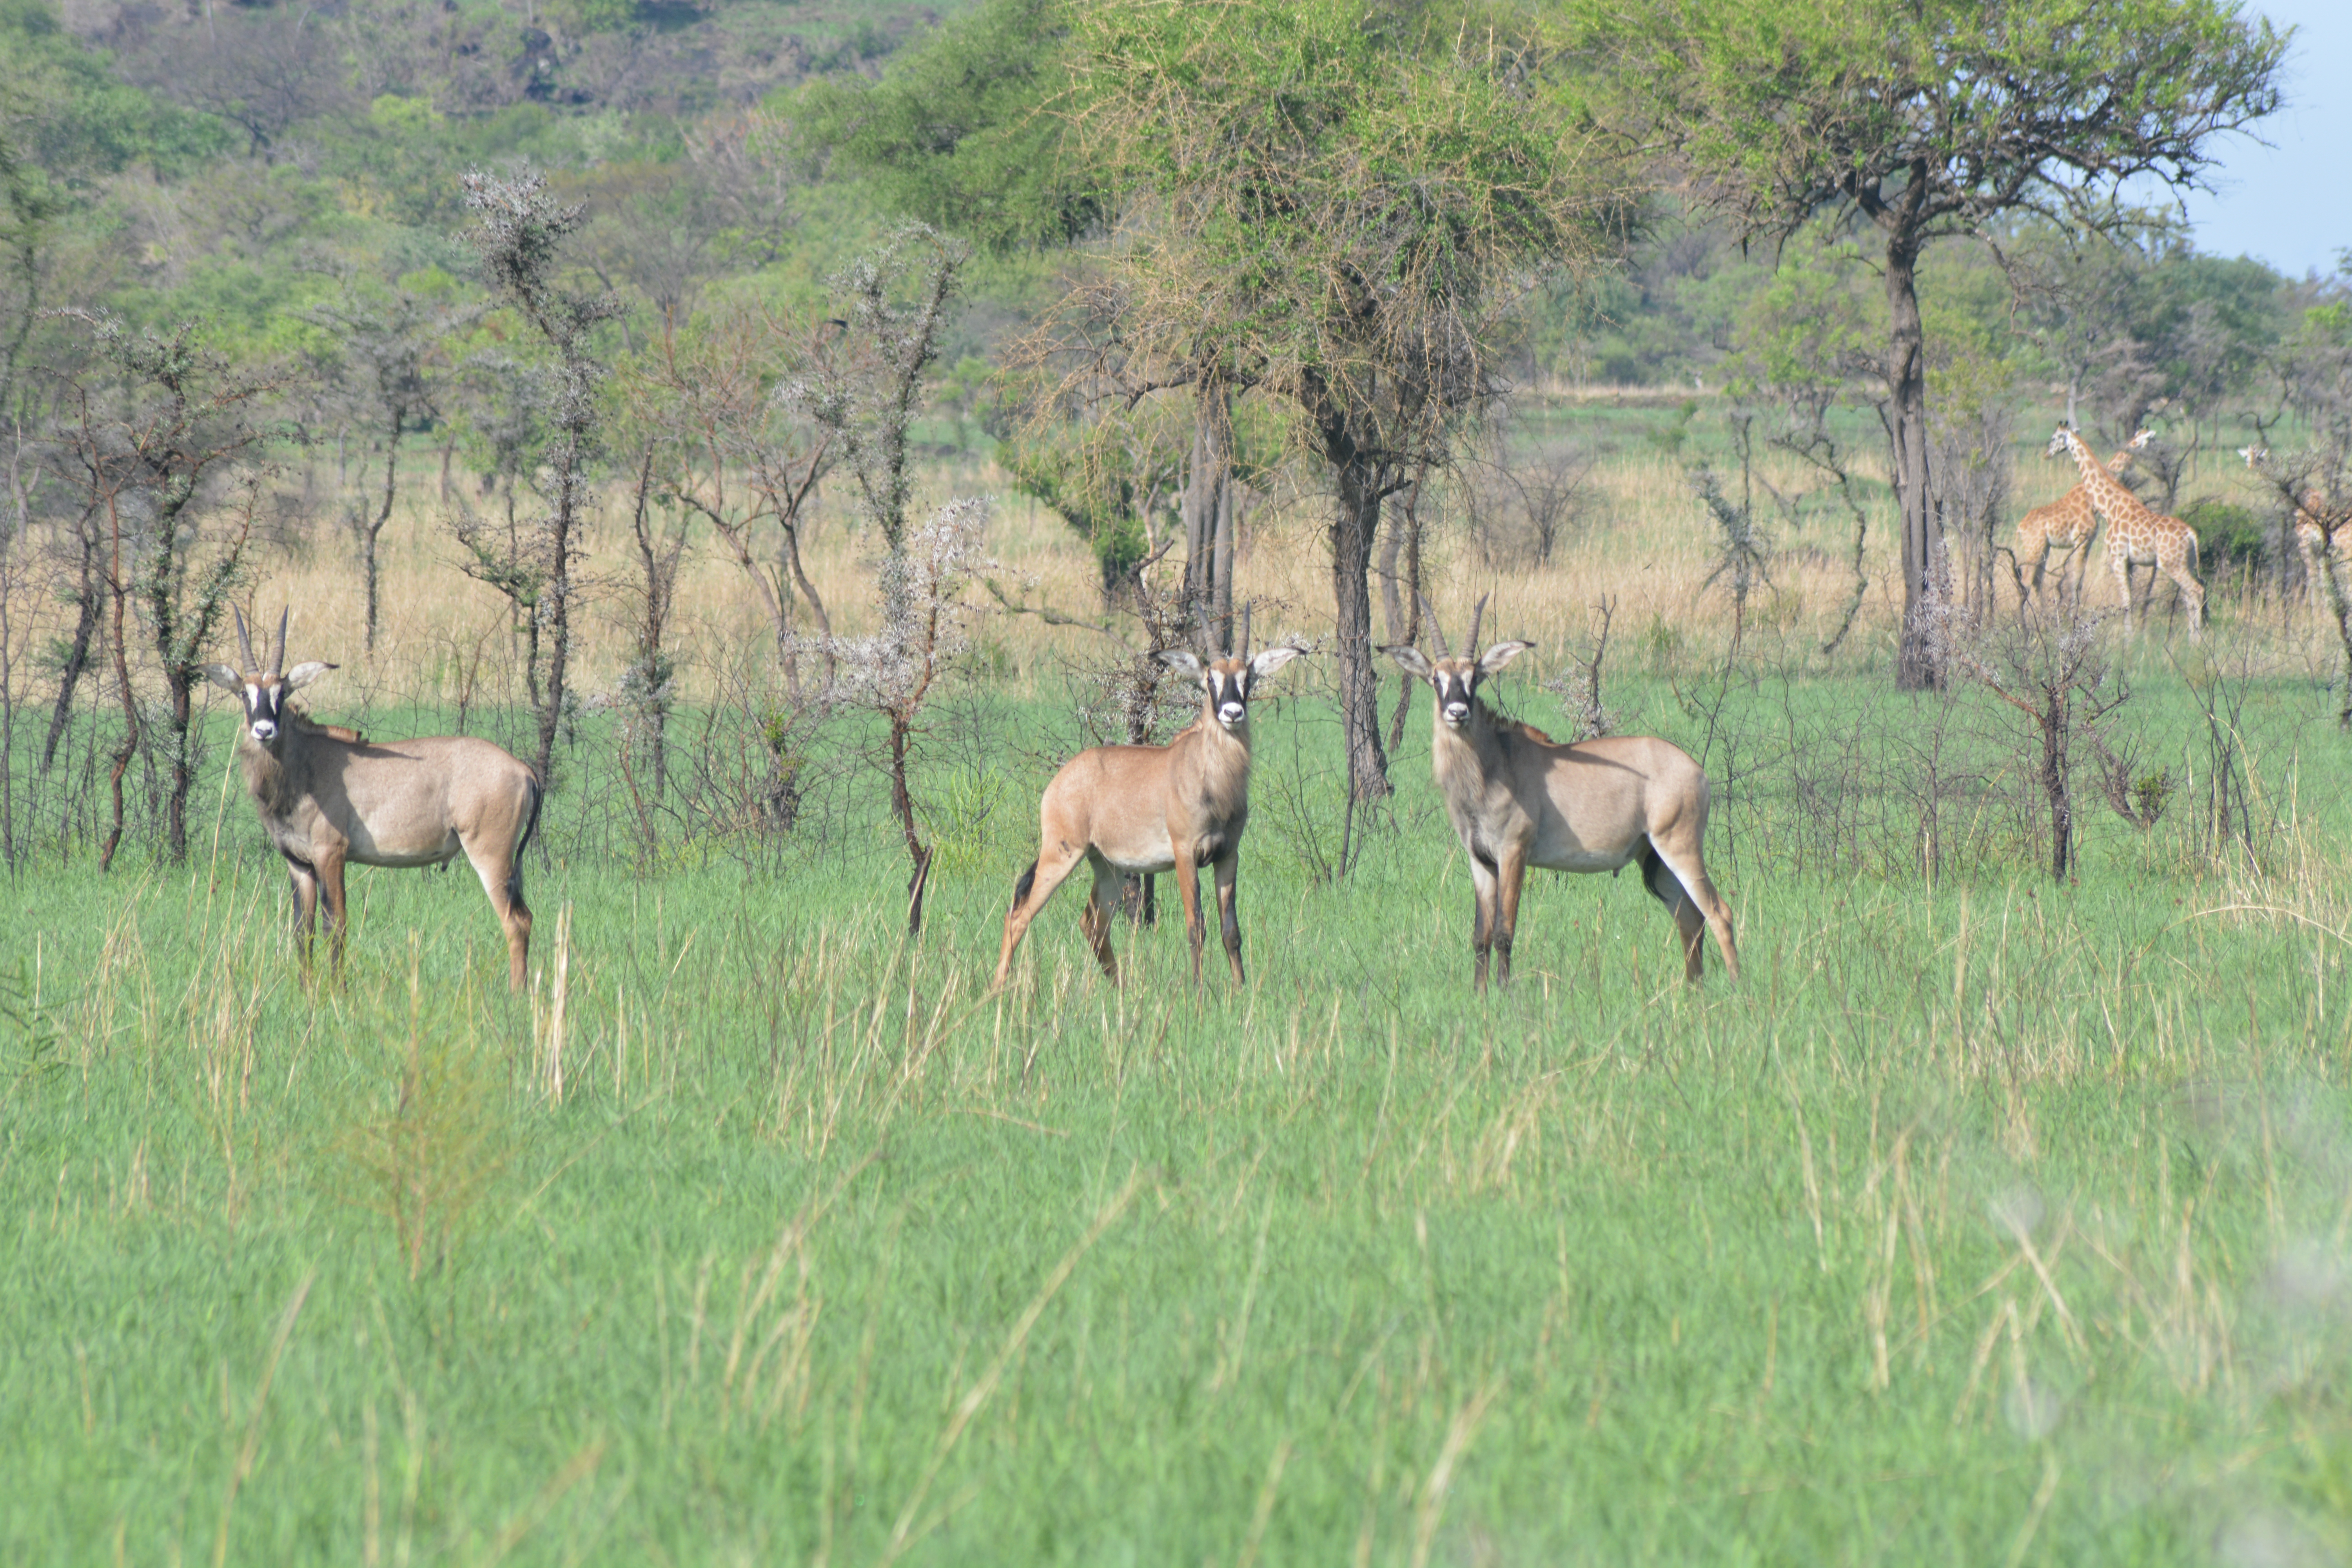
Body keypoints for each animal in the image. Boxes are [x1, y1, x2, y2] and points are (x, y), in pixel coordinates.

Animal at [206, 608, 544, 989]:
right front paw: (307, 991)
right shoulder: (299, 864)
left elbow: (336, 925)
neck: (305, 765)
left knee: (515, 921)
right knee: (524, 917)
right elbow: (302, 931)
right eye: (244, 693)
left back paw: (517, 993)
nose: (264, 730)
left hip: (490, 855)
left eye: (283, 691)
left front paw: (338, 992)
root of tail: (523, 770)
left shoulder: (331, 855)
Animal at [994, 609, 1304, 990]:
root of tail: (1058, 783)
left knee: (1092, 922)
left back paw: (1120, 988)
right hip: (1062, 854)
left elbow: (1231, 930)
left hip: (1107, 866)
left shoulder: (1228, 855)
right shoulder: (1186, 854)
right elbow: (1196, 926)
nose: (1232, 713)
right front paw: (1198, 992)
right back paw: (998, 989)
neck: (1209, 776)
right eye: (1210, 678)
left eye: (1248, 678)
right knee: (1019, 915)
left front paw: (1241, 989)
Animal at [1384, 597, 1738, 991]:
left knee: (1719, 913)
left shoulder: (1514, 853)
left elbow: (1505, 932)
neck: (1494, 764)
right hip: (1656, 859)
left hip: (1680, 848)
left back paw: (1739, 991)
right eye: (1436, 678)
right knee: (1690, 918)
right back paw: (1694, 991)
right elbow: (1481, 936)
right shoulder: (1481, 861)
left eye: (1474, 678)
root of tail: (1697, 772)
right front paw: (1480, 995)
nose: (1457, 712)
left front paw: (1504, 994)